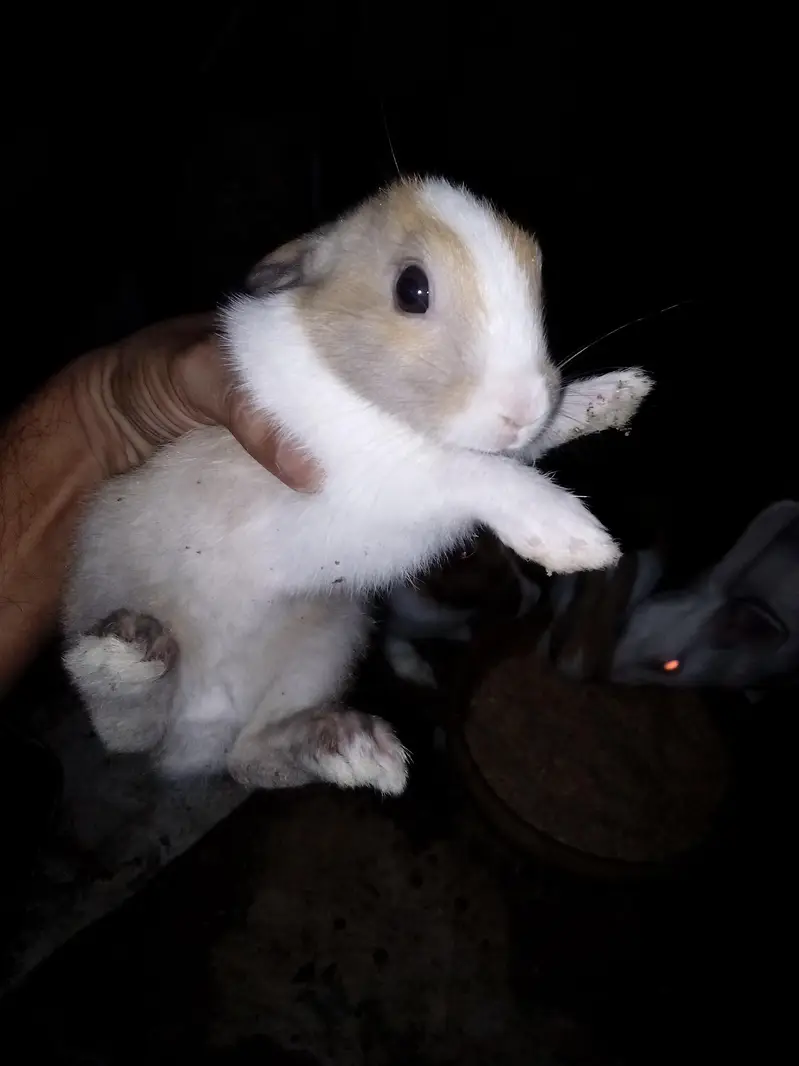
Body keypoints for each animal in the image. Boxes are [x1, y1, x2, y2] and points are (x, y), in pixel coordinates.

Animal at [62, 176, 654, 798]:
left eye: (537, 272)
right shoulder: (372, 472)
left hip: (326, 642)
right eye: (412, 289)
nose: (522, 409)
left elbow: (519, 452)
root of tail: (199, 734)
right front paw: (570, 536)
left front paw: (613, 395)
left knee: (252, 756)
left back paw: (355, 753)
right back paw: (124, 657)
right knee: (124, 724)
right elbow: (472, 470)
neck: (352, 386)